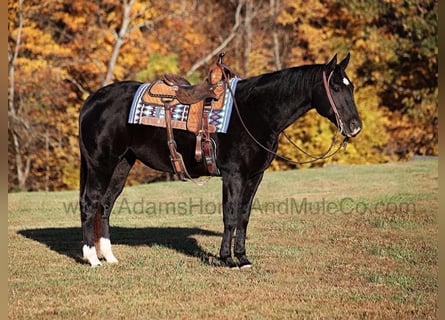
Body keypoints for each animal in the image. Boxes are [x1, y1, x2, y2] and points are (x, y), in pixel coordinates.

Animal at [78, 53, 360, 268]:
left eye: (352, 87)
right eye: (336, 87)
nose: (355, 126)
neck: (254, 111)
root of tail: (93, 100)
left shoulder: (254, 176)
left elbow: (244, 216)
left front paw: (243, 258)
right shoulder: (233, 175)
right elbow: (230, 215)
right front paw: (227, 259)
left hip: (122, 164)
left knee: (105, 204)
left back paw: (109, 256)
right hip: (101, 163)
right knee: (90, 203)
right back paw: (93, 259)